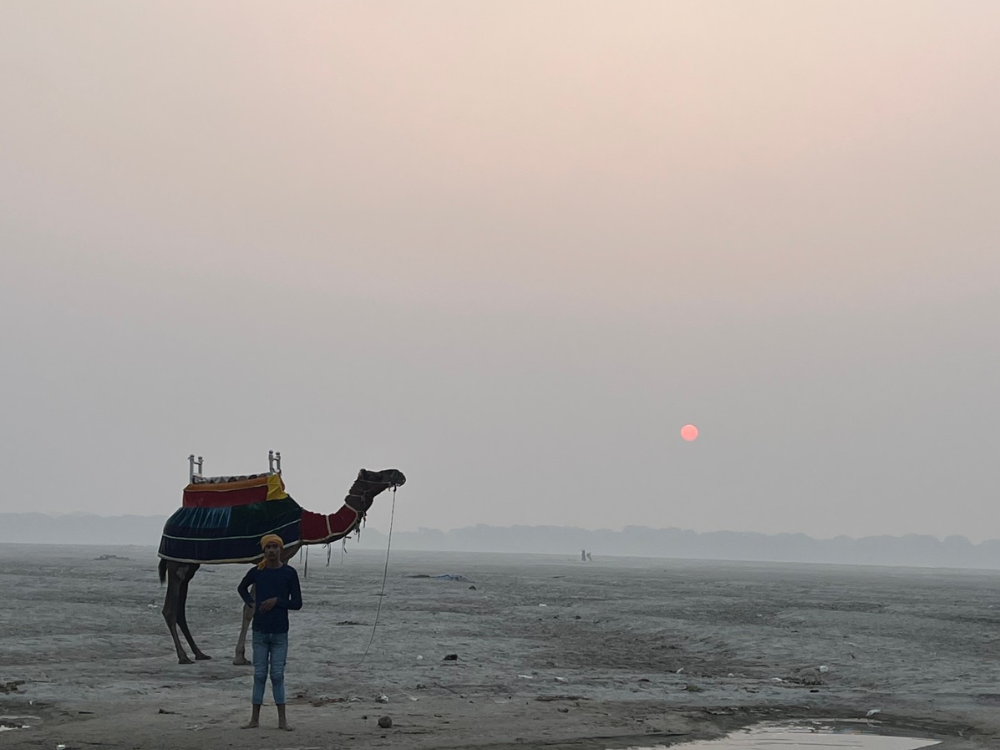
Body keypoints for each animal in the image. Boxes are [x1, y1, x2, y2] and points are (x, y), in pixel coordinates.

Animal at [157, 468, 406, 668]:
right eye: (376, 475)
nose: (399, 474)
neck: (304, 525)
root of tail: (170, 520)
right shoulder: (269, 557)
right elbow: (250, 608)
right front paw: (240, 657)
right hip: (176, 559)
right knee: (169, 608)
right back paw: (183, 656)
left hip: (190, 563)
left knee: (180, 608)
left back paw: (199, 653)